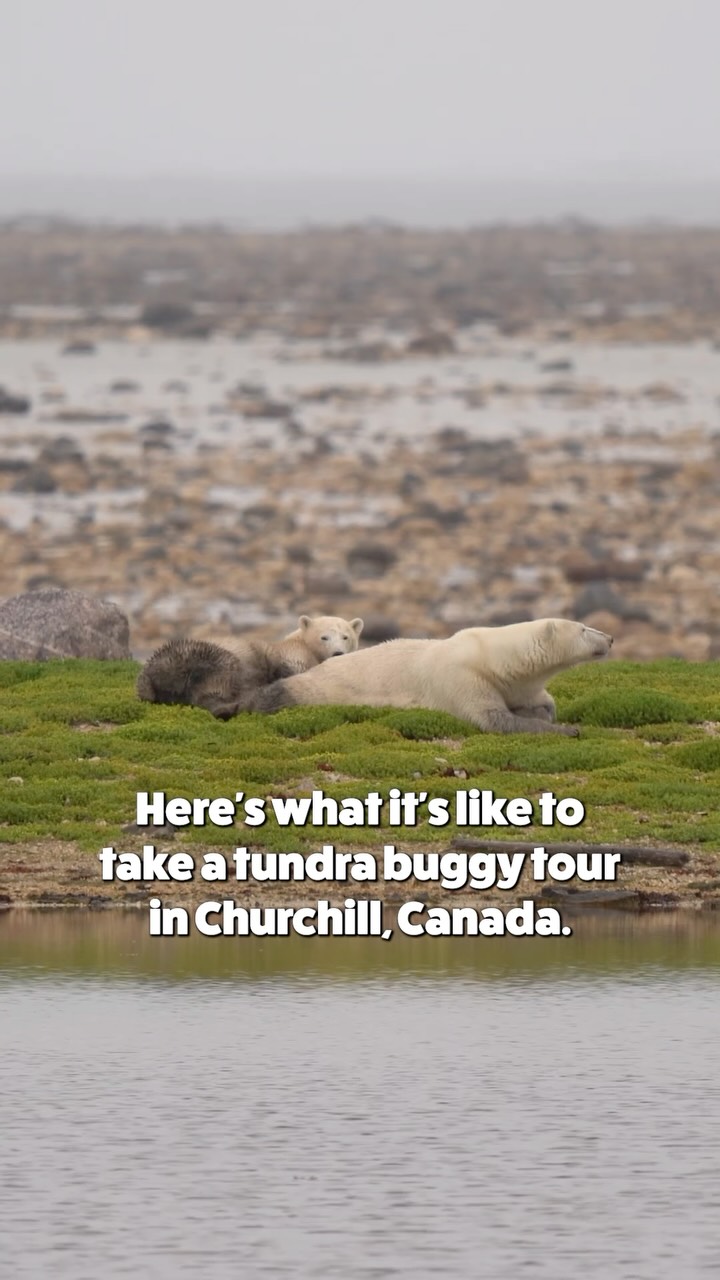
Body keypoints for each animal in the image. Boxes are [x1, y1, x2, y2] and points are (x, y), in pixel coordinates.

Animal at [136, 614, 363, 716]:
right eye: (324, 637)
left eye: (345, 636)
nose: (337, 653)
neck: (300, 643)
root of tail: (150, 674)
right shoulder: (290, 655)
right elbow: (291, 670)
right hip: (206, 656)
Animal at [210, 619, 613, 734]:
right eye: (583, 628)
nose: (609, 638)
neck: (493, 657)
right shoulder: (460, 676)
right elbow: (493, 718)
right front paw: (568, 730)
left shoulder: (515, 681)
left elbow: (537, 701)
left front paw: (545, 711)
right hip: (318, 686)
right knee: (281, 692)